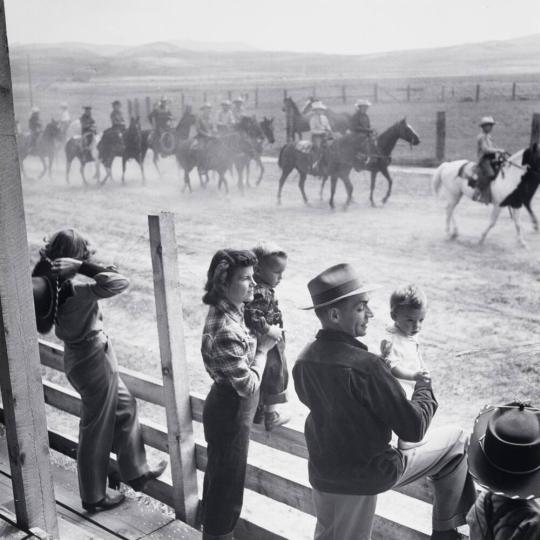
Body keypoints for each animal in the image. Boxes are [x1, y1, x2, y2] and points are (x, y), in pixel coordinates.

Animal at [278, 118, 422, 209]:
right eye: (407, 129)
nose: (418, 140)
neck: (380, 147)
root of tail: (288, 144)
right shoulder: (377, 170)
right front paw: (379, 200)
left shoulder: (377, 170)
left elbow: (383, 183)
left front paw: (378, 201)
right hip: (287, 168)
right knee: (281, 182)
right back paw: (279, 201)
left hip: (302, 171)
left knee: (301, 185)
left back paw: (309, 202)